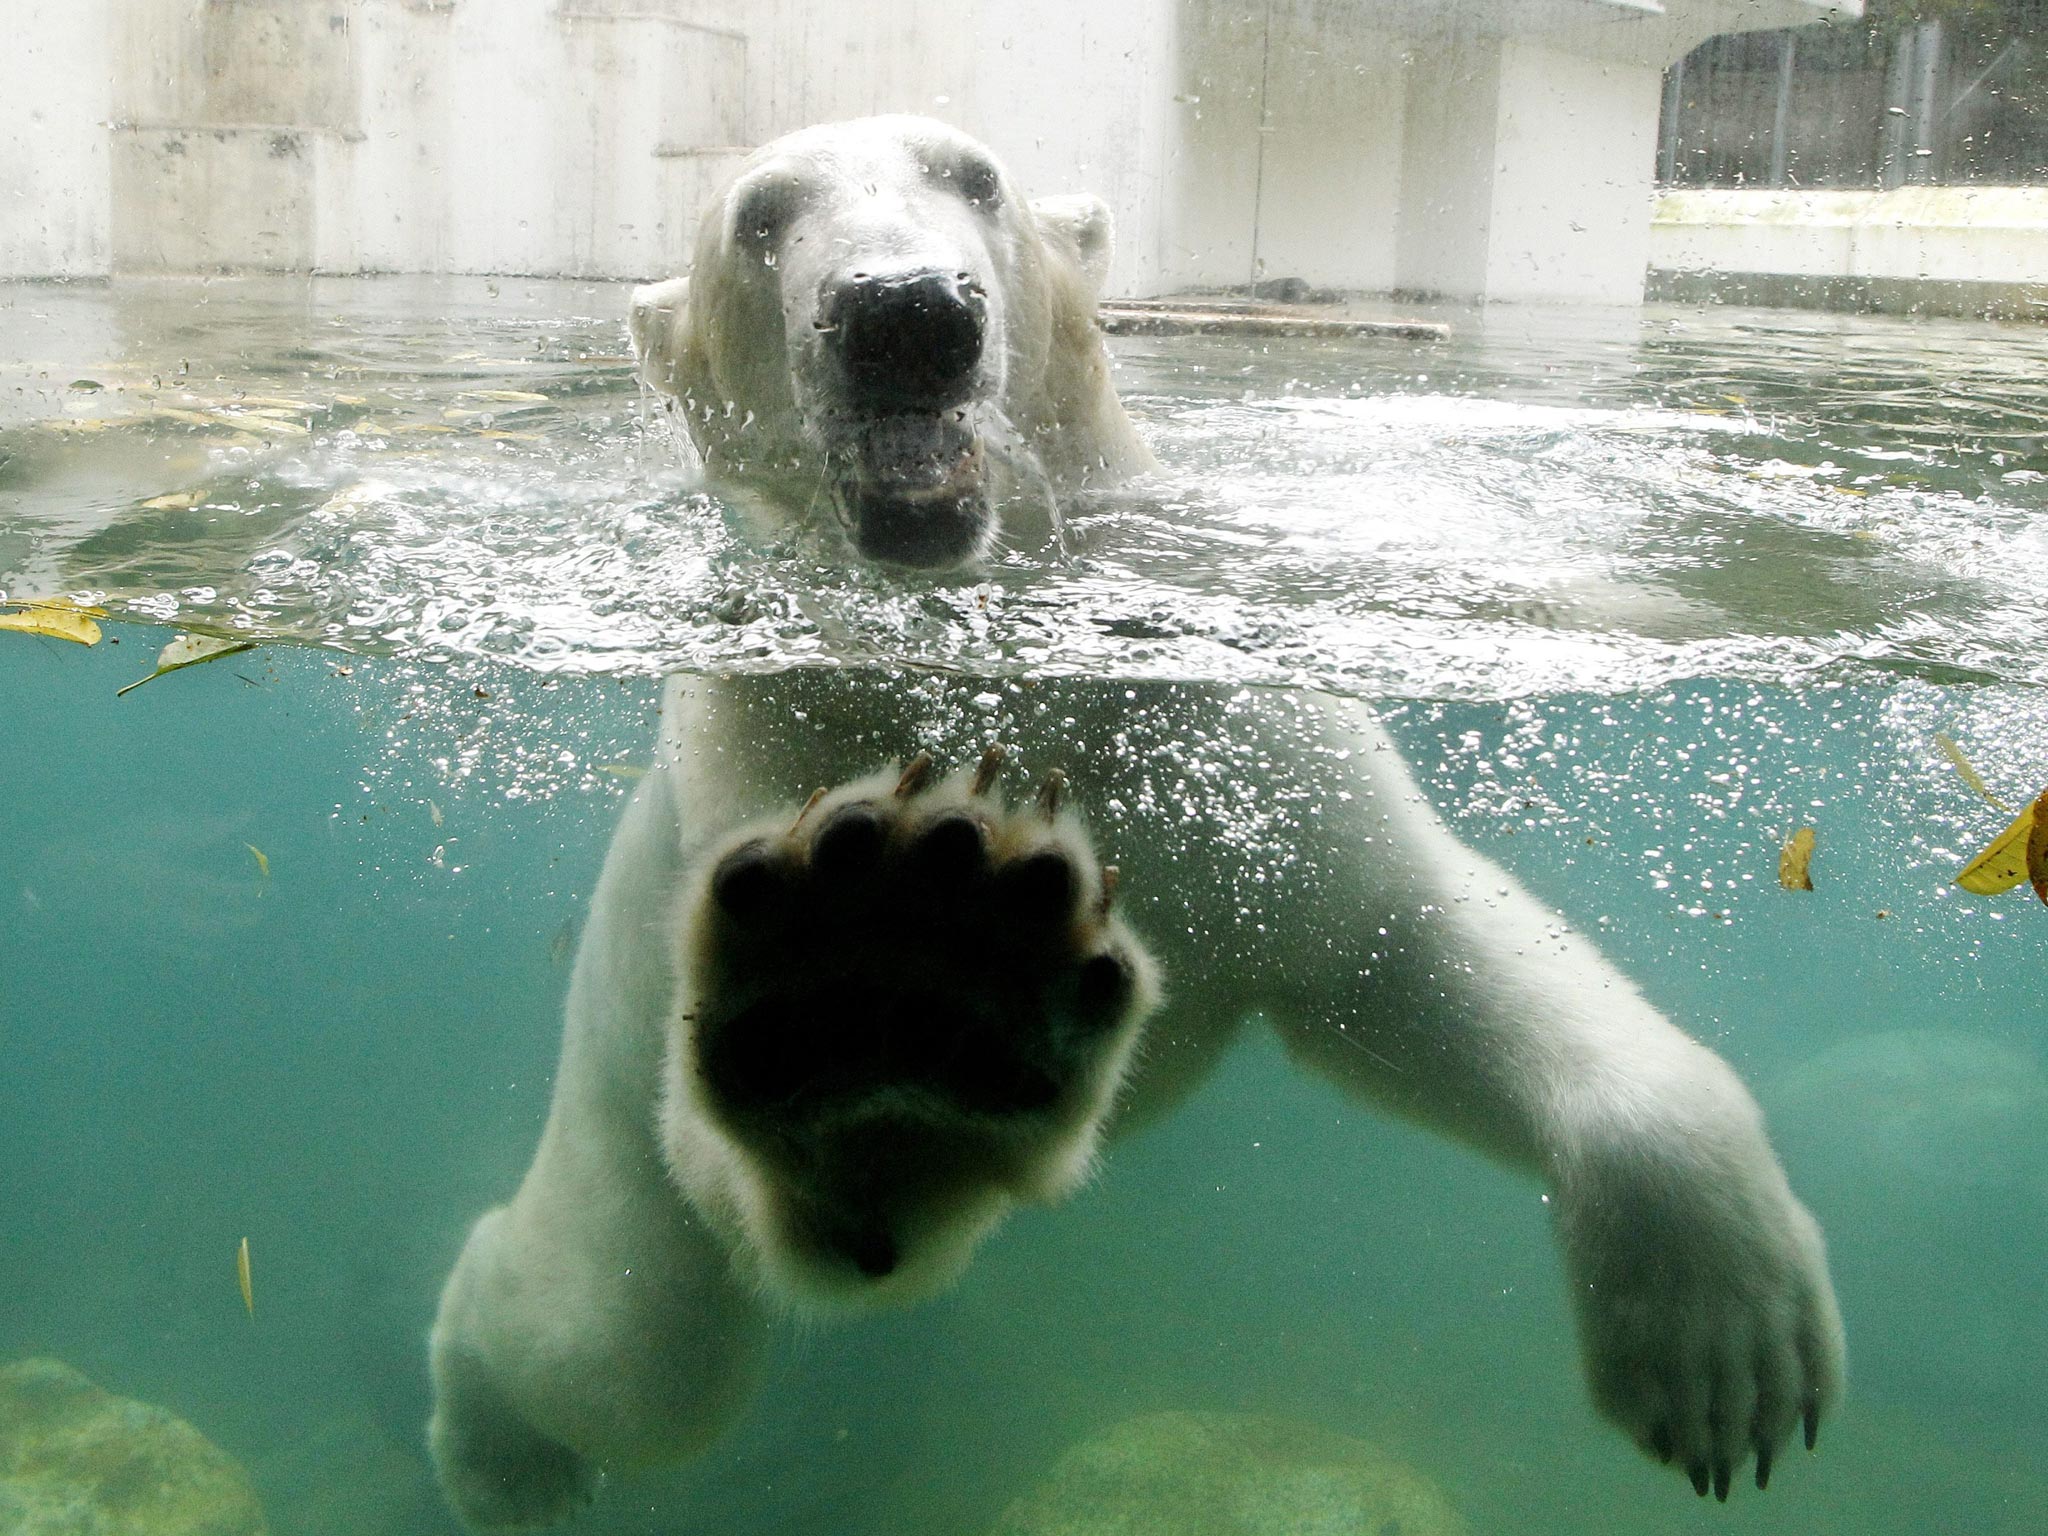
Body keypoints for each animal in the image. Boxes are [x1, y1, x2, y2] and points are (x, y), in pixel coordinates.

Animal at [427, 115, 1845, 1530]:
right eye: (760, 218)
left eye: (974, 178)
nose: (903, 312)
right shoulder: (762, 749)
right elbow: (754, 1158)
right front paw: (883, 984)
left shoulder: (1238, 724)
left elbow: (1389, 938)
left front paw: (1722, 1347)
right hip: (609, 1081)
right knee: (626, 1343)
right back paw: (496, 1446)